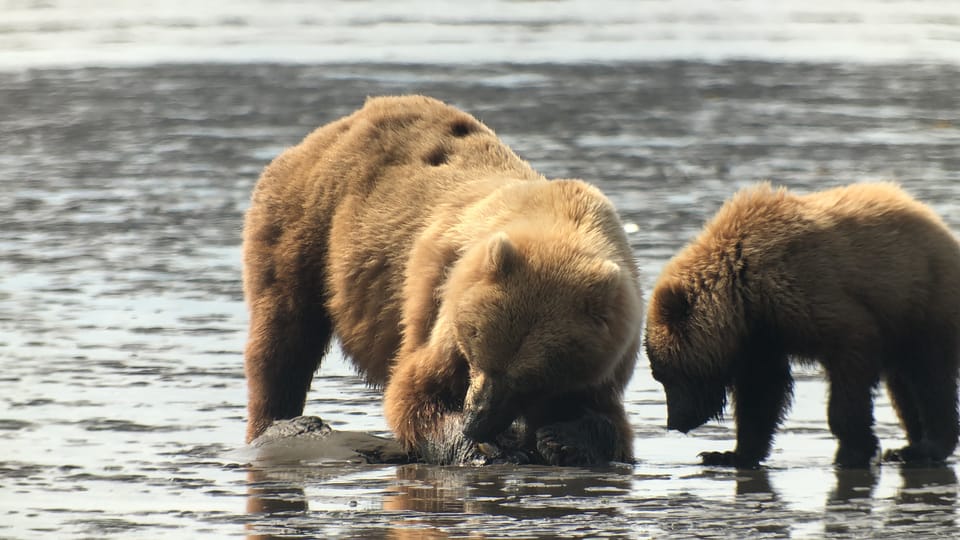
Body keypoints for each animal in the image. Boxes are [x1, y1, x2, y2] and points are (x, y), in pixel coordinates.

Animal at [240, 95, 644, 466]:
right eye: (479, 347)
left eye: (531, 378)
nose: (477, 421)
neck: (562, 219)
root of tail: (340, 124)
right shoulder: (443, 307)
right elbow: (414, 392)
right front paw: (480, 449)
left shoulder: (606, 357)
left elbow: (610, 422)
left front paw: (562, 438)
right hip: (307, 219)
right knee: (284, 333)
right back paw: (279, 420)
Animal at [644, 182, 960, 468]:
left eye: (665, 374)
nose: (675, 422)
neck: (744, 290)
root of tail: (944, 231)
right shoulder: (761, 333)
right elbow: (761, 391)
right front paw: (727, 454)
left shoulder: (807, 291)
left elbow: (850, 358)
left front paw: (852, 451)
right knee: (903, 385)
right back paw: (909, 446)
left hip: (922, 299)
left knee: (928, 376)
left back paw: (927, 446)